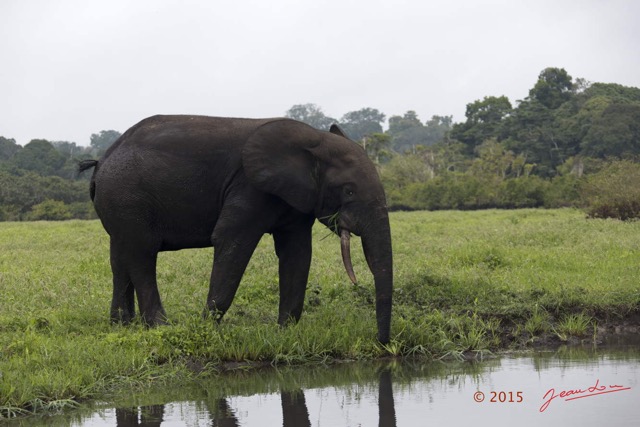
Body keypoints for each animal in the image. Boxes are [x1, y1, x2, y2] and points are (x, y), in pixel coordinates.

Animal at [77, 116, 392, 344]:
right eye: (348, 190)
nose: (381, 343)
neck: (313, 140)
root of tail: (102, 161)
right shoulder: (249, 187)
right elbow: (232, 241)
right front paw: (205, 330)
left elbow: (297, 252)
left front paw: (284, 333)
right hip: (128, 198)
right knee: (142, 255)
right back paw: (159, 327)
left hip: (119, 204)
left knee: (119, 257)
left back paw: (122, 326)